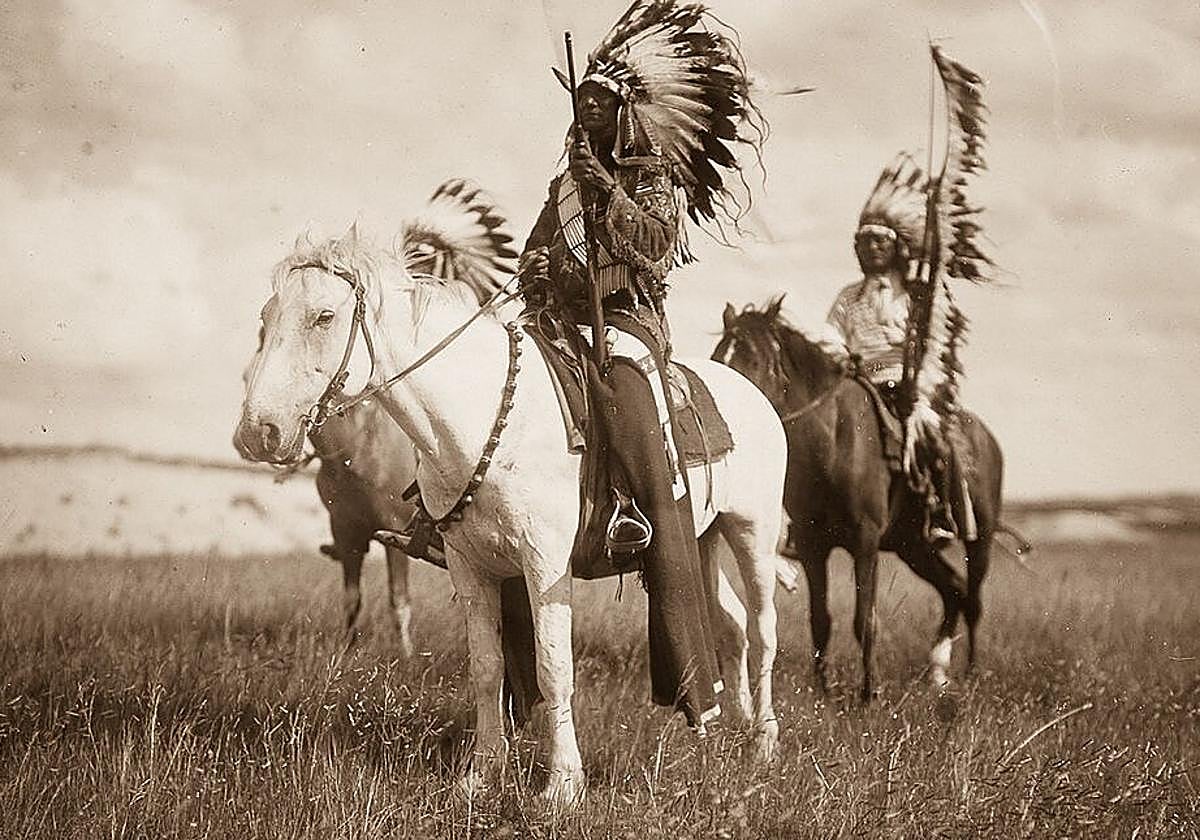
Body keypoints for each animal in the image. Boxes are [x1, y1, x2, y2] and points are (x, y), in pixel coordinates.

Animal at [234, 229, 788, 810]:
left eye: (323, 317)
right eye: (267, 317)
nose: (258, 432)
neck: (482, 419)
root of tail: (753, 394)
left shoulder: (545, 567)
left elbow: (553, 668)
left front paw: (563, 785)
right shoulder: (471, 568)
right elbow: (486, 668)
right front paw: (482, 773)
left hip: (752, 533)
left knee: (763, 627)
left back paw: (763, 742)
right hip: (703, 540)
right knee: (732, 623)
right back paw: (733, 723)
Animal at [712, 296, 1005, 701]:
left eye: (753, 360)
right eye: (717, 356)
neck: (834, 440)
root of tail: (986, 438)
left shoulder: (864, 542)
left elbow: (864, 620)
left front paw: (869, 694)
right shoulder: (812, 545)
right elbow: (821, 619)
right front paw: (824, 693)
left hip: (981, 540)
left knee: (973, 599)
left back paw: (972, 672)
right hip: (913, 547)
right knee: (954, 590)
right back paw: (937, 673)